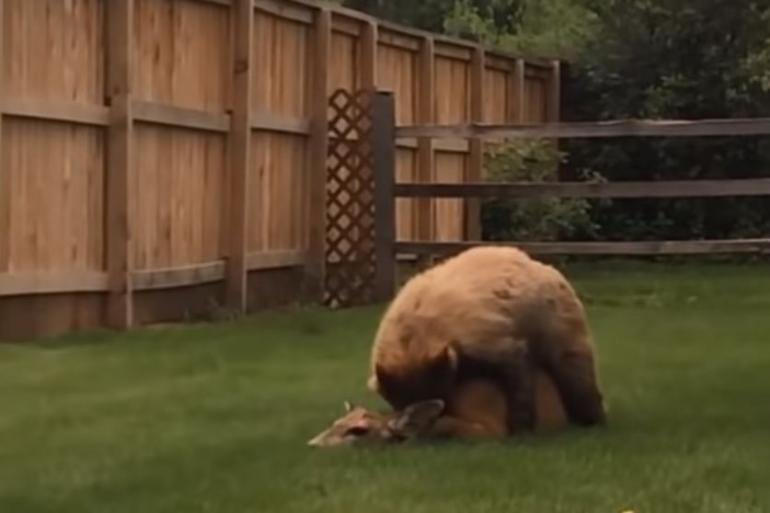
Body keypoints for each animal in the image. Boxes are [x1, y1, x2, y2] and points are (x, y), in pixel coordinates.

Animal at [366, 246, 608, 430]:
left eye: (440, 395)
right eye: (399, 403)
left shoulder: (482, 335)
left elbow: (516, 367)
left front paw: (520, 426)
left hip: (558, 323)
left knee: (574, 369)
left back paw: (592, 418)